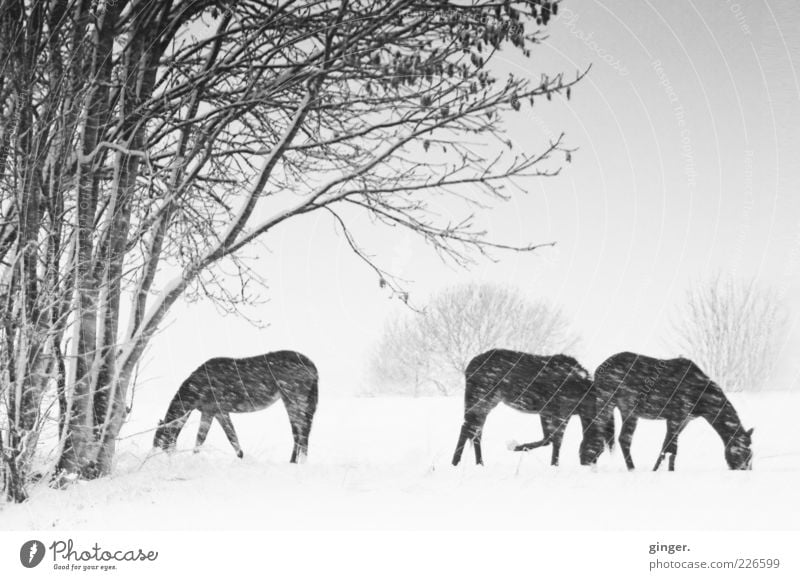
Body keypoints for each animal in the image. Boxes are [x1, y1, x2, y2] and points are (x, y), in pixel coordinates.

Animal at [153, 348, 318, 462]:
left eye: (161, 436)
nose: (156, 455)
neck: (199, 387)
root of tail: (313, 367)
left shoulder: (217, 410)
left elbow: (222, 437)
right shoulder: (211, 411)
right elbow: (207, 438)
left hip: (295, 400)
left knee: (301, 432)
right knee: (298, 433)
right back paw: (293, 462)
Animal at [450, 348, 612, 466]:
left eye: (601, 451)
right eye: (597, 449)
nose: (587, 465)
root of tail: (468, 368)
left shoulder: (546, 412)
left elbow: (548, 439)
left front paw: (517, 446)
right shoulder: (562, 412)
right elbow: (557, 441)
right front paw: (554, 465)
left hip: (483, 404)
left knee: (474, 431)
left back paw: (479, 463)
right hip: (481, 400)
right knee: (468, 429)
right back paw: (456, 462)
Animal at [592, 352, 756, 468]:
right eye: (743, 452)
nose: (744, 470)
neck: (699, 393)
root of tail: (599, 369)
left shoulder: (683, 421)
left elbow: (669, 448)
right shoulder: (675, 418)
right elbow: (670, 448)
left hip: (629, 413)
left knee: (624, 440)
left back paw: (631, 469)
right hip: (606, 404)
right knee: (598, 434)